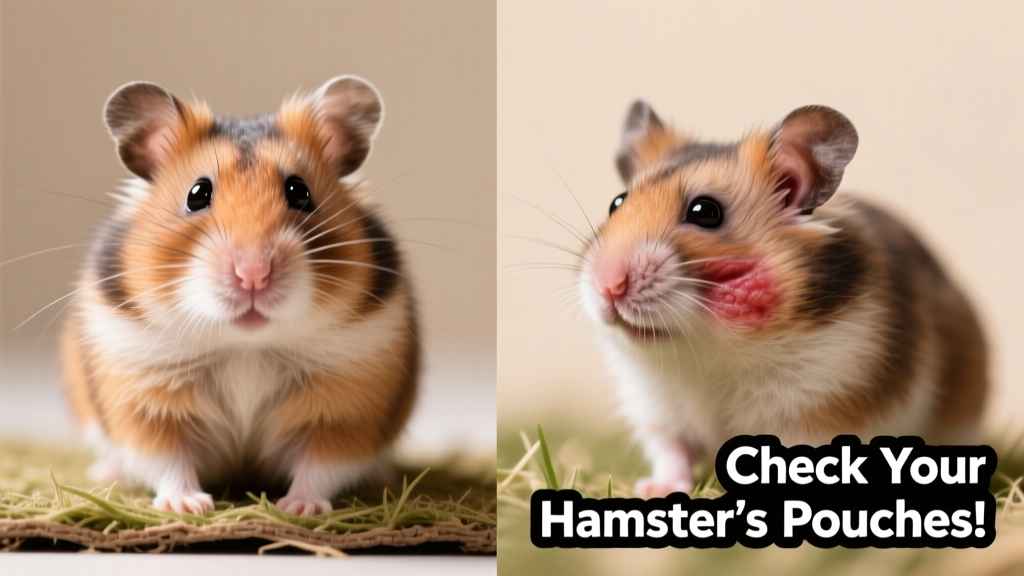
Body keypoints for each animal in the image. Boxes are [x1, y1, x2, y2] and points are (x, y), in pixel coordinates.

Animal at [61, 76, 418, 515]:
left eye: (300, 192)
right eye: (197, 194)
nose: (253, 274)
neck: (246, 347)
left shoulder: (347, 408)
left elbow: (321, 464)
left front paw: (298, 509)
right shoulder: (143, 402)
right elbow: (166, 458)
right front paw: (188, 506)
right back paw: (105, 474)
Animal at [579, 102, 987, 498]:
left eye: (705, 212)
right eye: (617, 203)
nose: (607, 286)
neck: (711, 351)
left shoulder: (822, 407)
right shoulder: (658, 411)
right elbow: (671, 454)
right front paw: (654, 490)